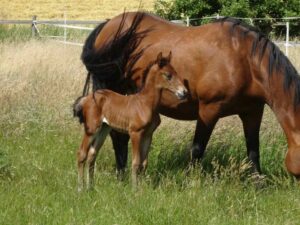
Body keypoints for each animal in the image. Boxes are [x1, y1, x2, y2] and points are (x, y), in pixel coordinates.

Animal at [74, 51, 188, 190]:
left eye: (176, 72)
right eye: (168, 75)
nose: (184, 92)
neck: (146, 103)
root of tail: (86, 98)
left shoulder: (148, 135)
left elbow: (144, 163)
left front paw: (143, 188)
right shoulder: (135, 133)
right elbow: (136, 162)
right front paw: (134, 189)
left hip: (103, 129)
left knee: (92, 155)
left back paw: (91, 186)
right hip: (92, 128)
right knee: (82, 154)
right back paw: (81, 188)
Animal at [81, 11, 300, 178]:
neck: (244, 59)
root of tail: (106, 25)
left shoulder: (253, 112)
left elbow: (253, 150)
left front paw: (258, 183)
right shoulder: (208, 110)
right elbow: (197, 149)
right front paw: (190, 181)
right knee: (116, 135)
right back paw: (121, 174)